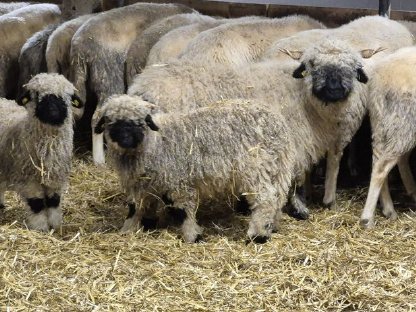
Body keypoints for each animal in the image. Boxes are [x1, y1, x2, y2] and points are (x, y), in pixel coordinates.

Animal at [0, 73, 83, 232]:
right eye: (37, 94)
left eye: (67, 96)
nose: (53, 113)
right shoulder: (29, 179)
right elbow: (37, 204)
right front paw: (40, 227)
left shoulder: (55, 177)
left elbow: (53, 201)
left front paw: (55, 225)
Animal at [360, 45, 416, 228]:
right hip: (404, 120)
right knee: (382, 166)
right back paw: (367, 218)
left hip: (383, 123)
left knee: (379, 160)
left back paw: (389, 208)